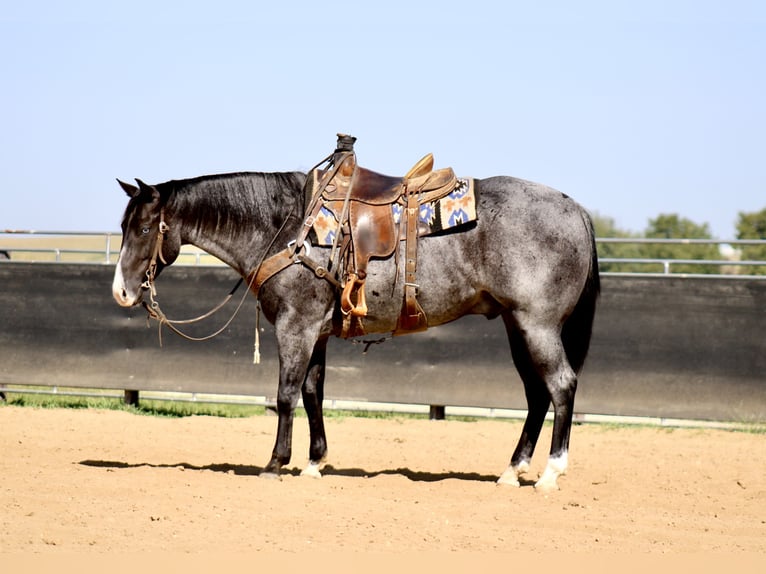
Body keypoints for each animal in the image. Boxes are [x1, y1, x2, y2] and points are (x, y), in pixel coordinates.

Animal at [111, 163, 600, 496]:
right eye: (123, 225)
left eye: (144, 227)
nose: (121, 291)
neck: (287, 229)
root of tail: (574, 207)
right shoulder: (317, 332)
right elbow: (313, 392)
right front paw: (314, 462)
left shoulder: (296, 326)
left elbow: (286, 394)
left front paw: (275, 464)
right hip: (518, 326)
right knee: (537, 395)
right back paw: (512, 471)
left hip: (537, 325)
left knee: (560, 385)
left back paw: (550, 473)